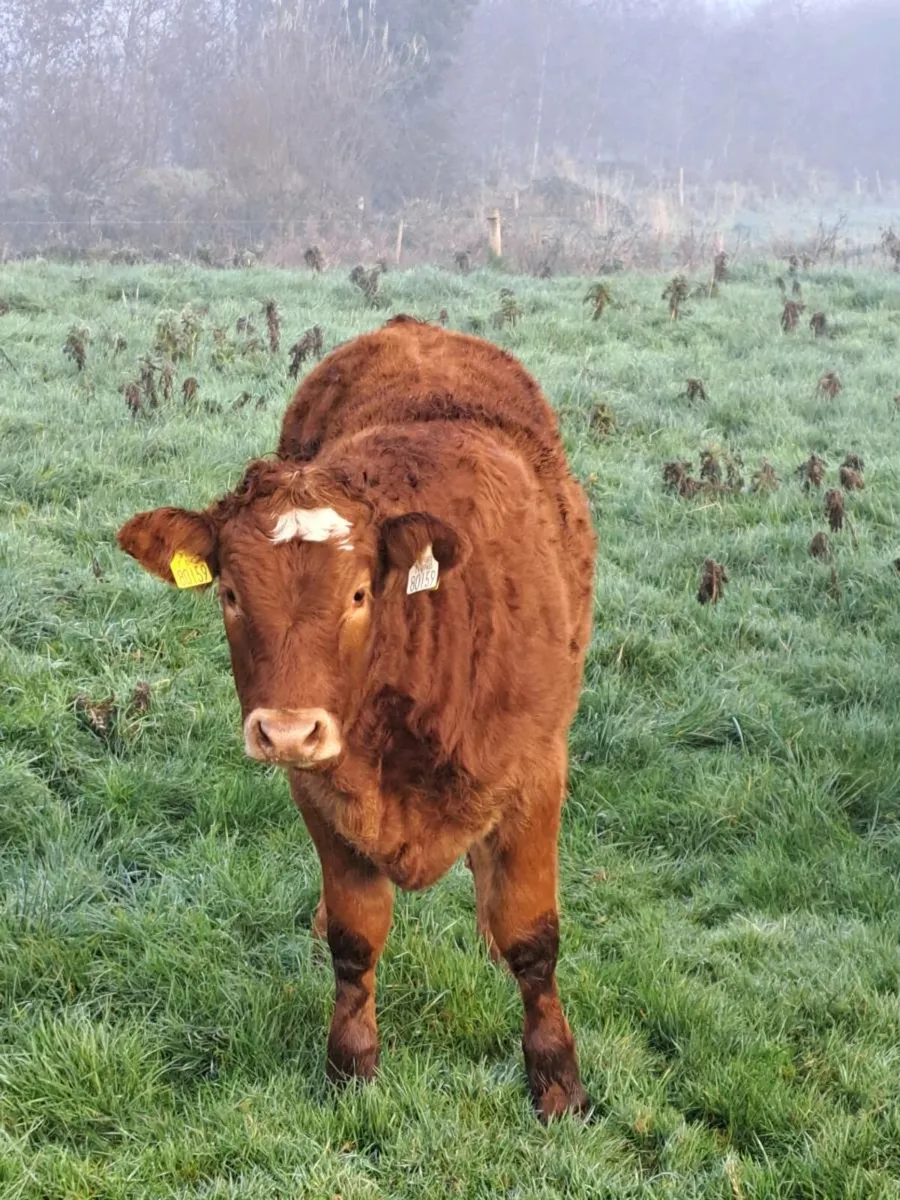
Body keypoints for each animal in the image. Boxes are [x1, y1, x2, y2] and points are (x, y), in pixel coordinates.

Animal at [117, 315, 597, 1120]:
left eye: (358, 595)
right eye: (230, 594)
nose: (286, 729)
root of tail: (413, 329)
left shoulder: (536, 772)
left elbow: (532, 937)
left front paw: (556, 1079)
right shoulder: (320, 788)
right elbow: (355, 936)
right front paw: (351, 1062)